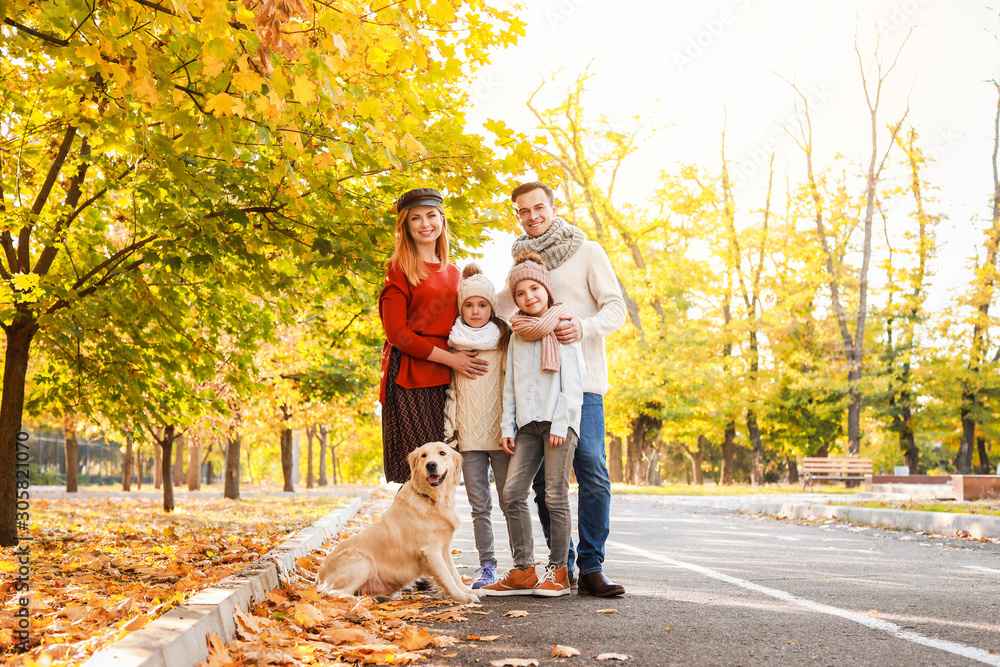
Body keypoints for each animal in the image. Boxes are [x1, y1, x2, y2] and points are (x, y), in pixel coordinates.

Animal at [314, 444, 482, 604]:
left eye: (442, 453)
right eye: (424, 455)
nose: (431, 465)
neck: (431, 500)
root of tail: (318, 577)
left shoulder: (444, 548)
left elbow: (454, 574)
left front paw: (468, 591)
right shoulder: (430, 550)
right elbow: (447, 576)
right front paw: (462, 597)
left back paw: (380, 597)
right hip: (363, 562)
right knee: (335, 593)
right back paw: (367, 600)